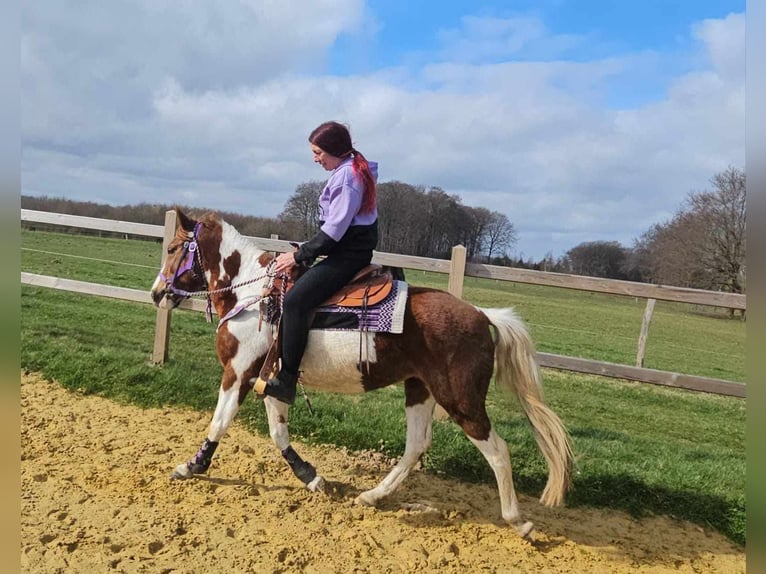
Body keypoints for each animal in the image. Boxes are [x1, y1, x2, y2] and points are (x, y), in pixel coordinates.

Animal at [150, 208, 573, 538]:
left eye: (172, 249)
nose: (156, 293)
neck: (251, 296)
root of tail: (482, 315)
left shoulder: (238, 373)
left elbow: (220, 422)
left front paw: (192, 466)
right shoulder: (272, 379)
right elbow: (278, 431)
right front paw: (311, 476)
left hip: (461, 400)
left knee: (497, 450)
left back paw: (518, 521)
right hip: (420, 389)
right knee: (416, 445)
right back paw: (372, 495)